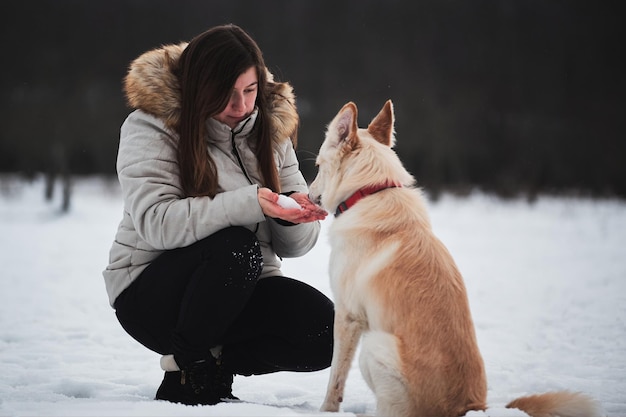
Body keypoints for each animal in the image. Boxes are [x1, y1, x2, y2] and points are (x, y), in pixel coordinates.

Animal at [308, 101, 600, 416]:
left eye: (317, 167)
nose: (307, 194)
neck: (369, 191)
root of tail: (472, 406)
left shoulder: (348, 316)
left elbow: (335, 379)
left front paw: (325, 410)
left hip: (376, 347)